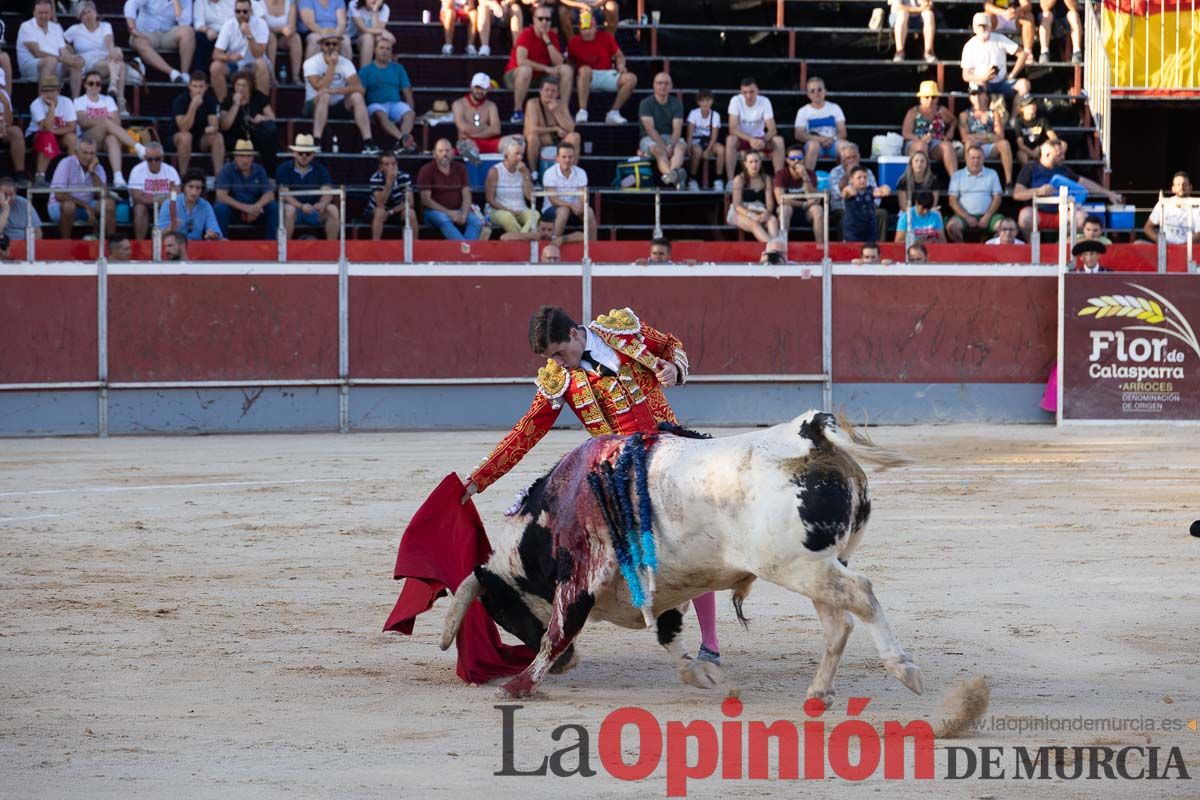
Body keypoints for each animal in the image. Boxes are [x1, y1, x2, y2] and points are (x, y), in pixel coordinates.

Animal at [436, 412, 921, 700]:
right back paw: (818, 693)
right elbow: (669, 634)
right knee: (839, 622)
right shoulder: (664, 588)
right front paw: (700, 676)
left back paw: (904, 671)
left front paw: (518, 684)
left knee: (862, 595)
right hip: (819, 567)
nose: (566, 668)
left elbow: (558, 630)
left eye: (501, 612)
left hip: (797, 566)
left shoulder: (579, 580)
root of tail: (811, 435)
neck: (557, 509)